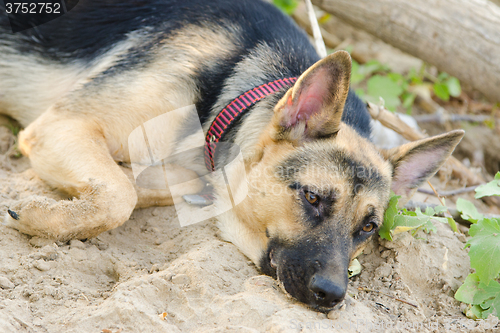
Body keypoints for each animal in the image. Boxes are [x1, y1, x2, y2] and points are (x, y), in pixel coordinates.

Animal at [0, 0, 462, 312]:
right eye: (312, 198)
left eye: (368, 227)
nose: (332, 296)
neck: (228, 98)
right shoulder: (60, 125)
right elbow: (118, 197)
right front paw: (43, 218)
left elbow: (134, 186)